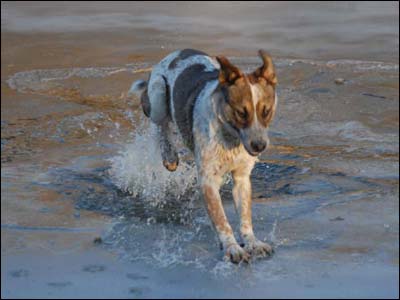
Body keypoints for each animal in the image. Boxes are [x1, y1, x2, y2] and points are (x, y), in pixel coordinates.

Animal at [130, 49, 278, 262]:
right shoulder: (208, 180)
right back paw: (169, 154)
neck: (230, 137)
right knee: (159, 123)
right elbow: (221, 219)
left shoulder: (242, 178)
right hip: (157, 94)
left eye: (266, 111)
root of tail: (176, 52)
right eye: (241, 113)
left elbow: (245, 216)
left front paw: (252, 242)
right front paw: (232, 248)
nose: (259, 145)